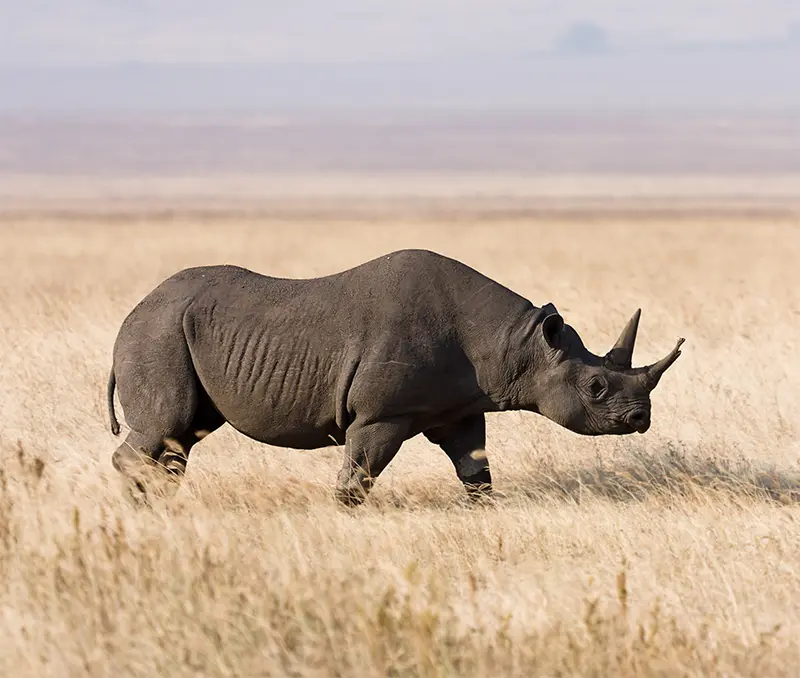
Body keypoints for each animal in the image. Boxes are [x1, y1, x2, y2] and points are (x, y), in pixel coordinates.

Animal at [107, 248, 684, 505]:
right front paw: (344, 515)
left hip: (172, 331)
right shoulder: (382, 414)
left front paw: (482, 511)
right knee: (169, 423)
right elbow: (358, 475)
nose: (641, 418)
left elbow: (476, 469)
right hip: (158, 333)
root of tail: (132, 312)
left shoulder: (458, 406)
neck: (517, 344)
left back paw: (159, 503)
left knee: (184, 434)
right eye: (596, 388)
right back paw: (143, 504)